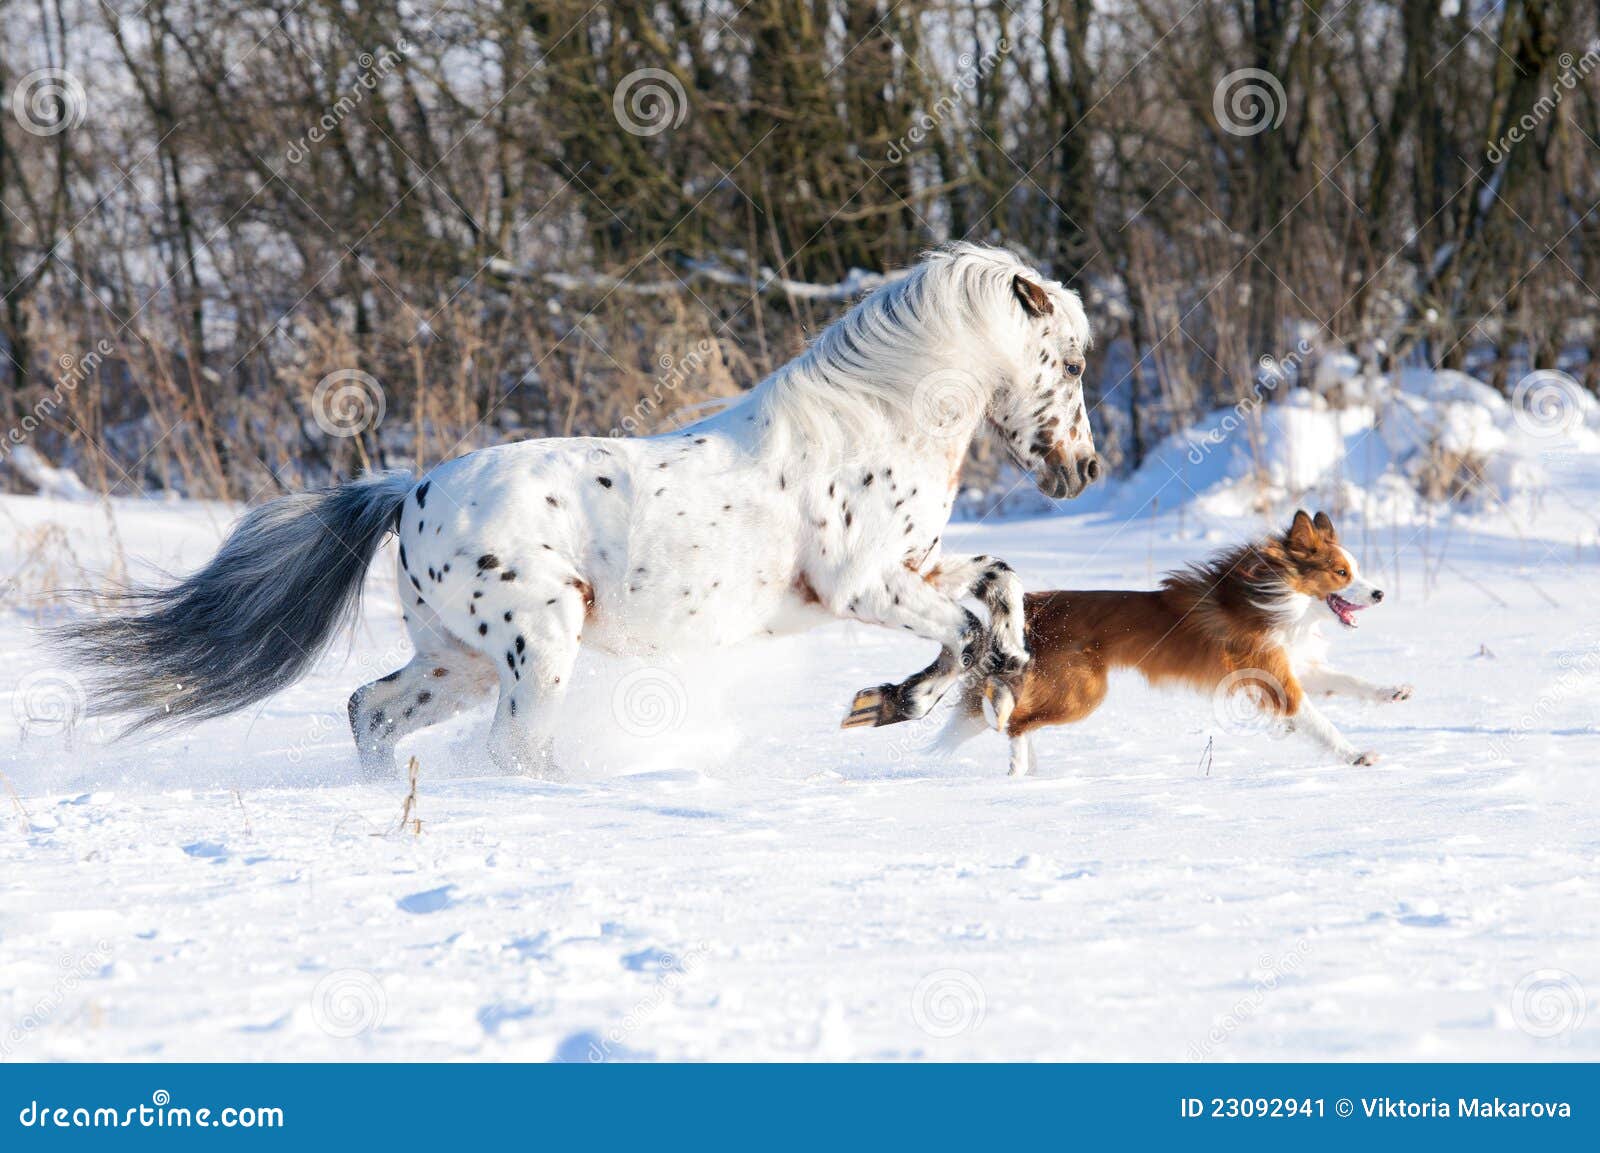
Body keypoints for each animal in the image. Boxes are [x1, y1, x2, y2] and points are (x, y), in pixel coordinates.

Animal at [59, 242, 1099, 775]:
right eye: (1074, 360)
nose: (1083, 469)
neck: (875, 419)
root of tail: (409, 493)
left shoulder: (912, 567)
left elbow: (998, 582)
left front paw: (997, 672)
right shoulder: (861, 588)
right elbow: (963, 628)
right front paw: (899, 702)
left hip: (458, 660)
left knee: (372, 711)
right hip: (537, 644)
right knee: (507, 746)